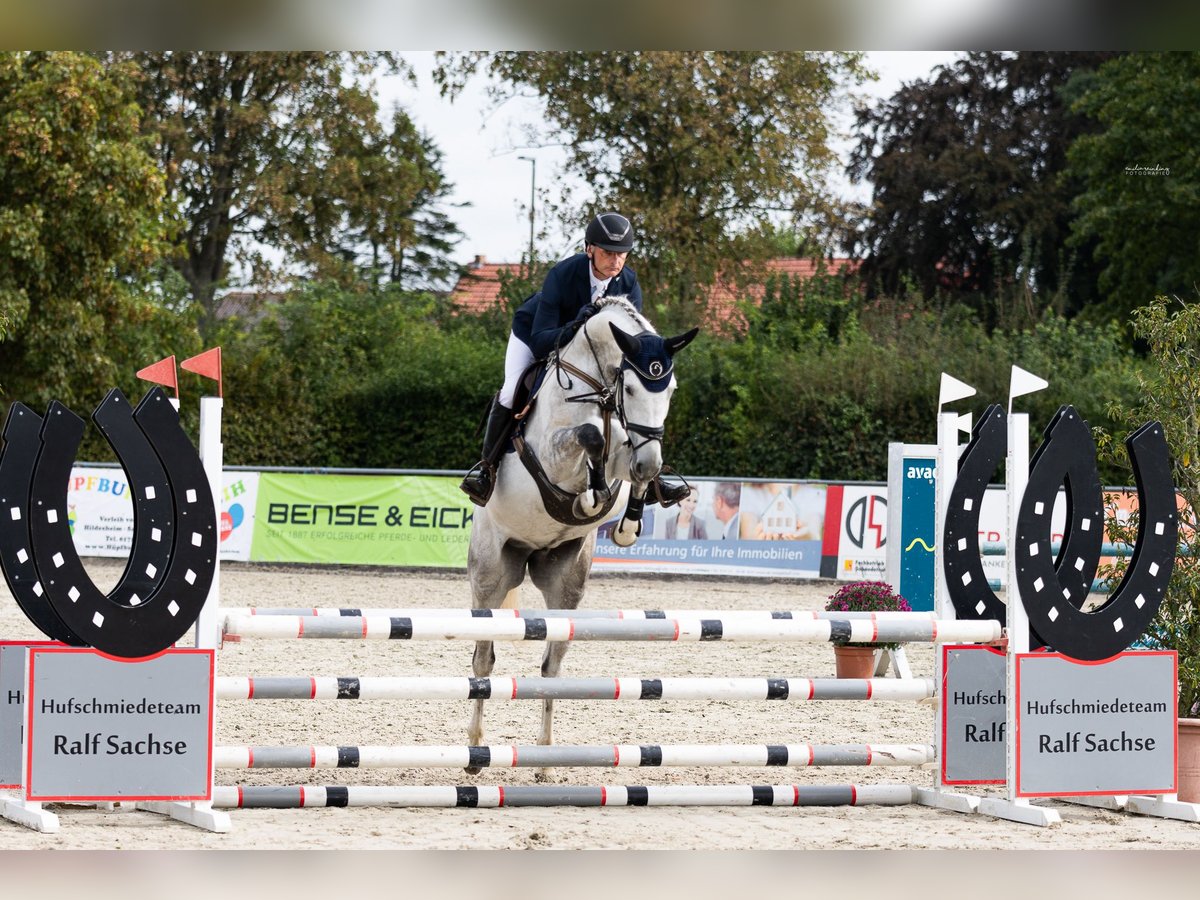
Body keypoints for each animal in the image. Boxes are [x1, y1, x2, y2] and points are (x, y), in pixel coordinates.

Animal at [463, 296, 700, 777]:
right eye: (632, 390)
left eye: (669, 390)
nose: (651, 462)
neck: (600, 390)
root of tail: (527, 554)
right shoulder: (553, 452)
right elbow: (589, 437)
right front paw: (591, 497)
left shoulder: (629, 452)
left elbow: (624, 467)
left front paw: (628, 521)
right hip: (490, 574)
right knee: (483, 658)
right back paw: (476, 752)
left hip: (565, 578)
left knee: (550, 666)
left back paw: (544, 760)